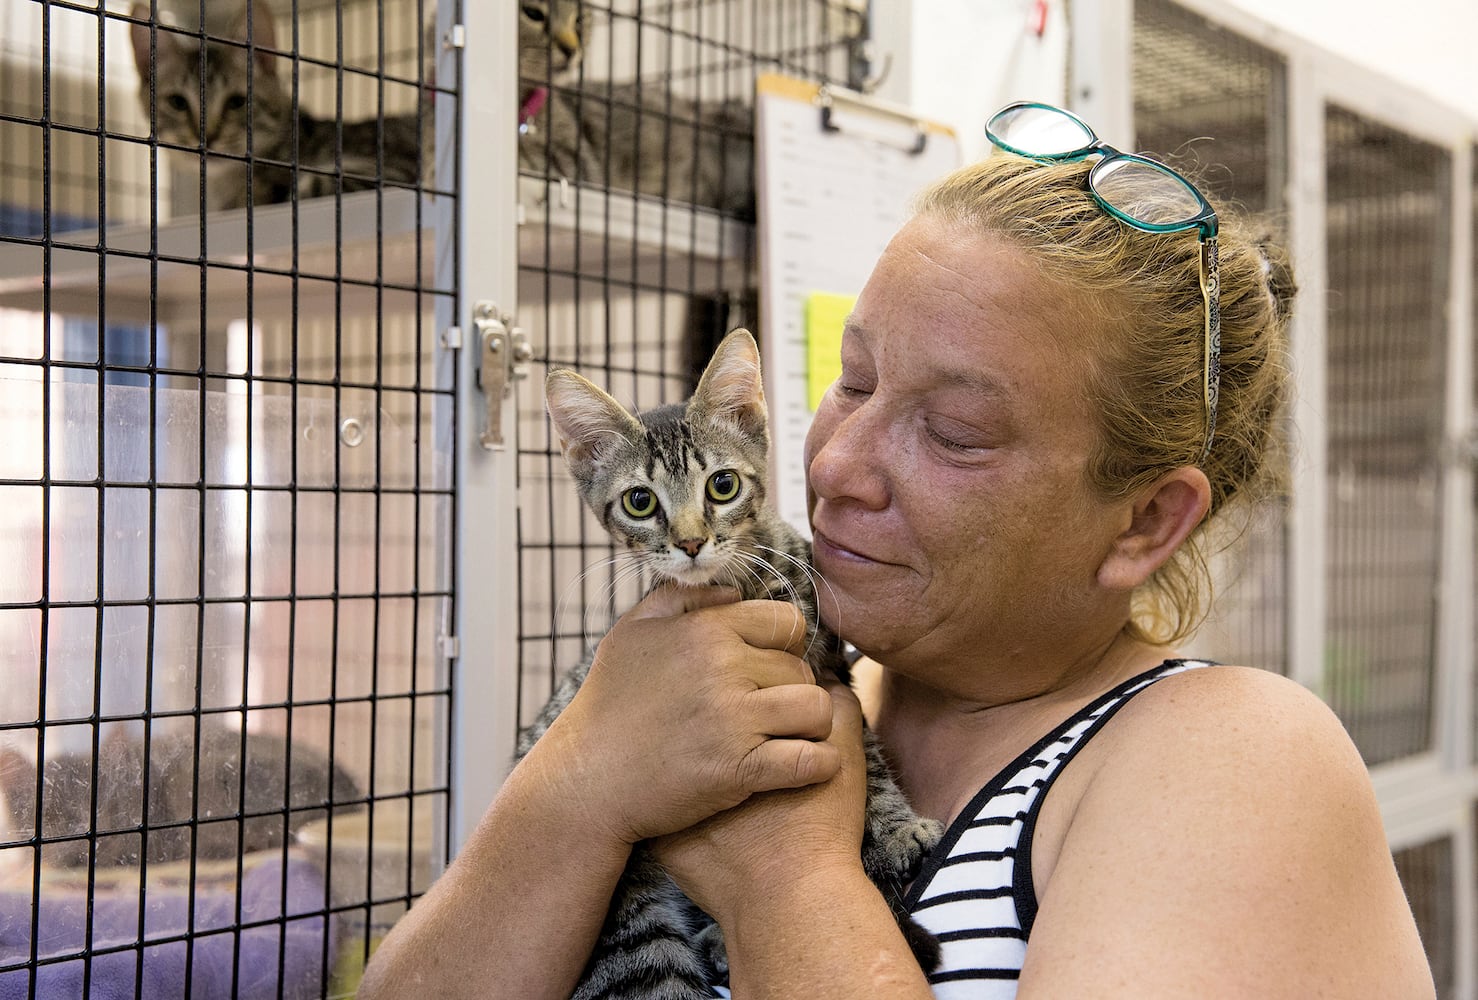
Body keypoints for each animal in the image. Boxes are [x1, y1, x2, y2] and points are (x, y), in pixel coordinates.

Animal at [523, 327, 945, 992]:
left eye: (722, 486)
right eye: (639, 502)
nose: (692, 542)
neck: (744, 588)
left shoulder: (831, 674)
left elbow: (872, 762)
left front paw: (895, 826)